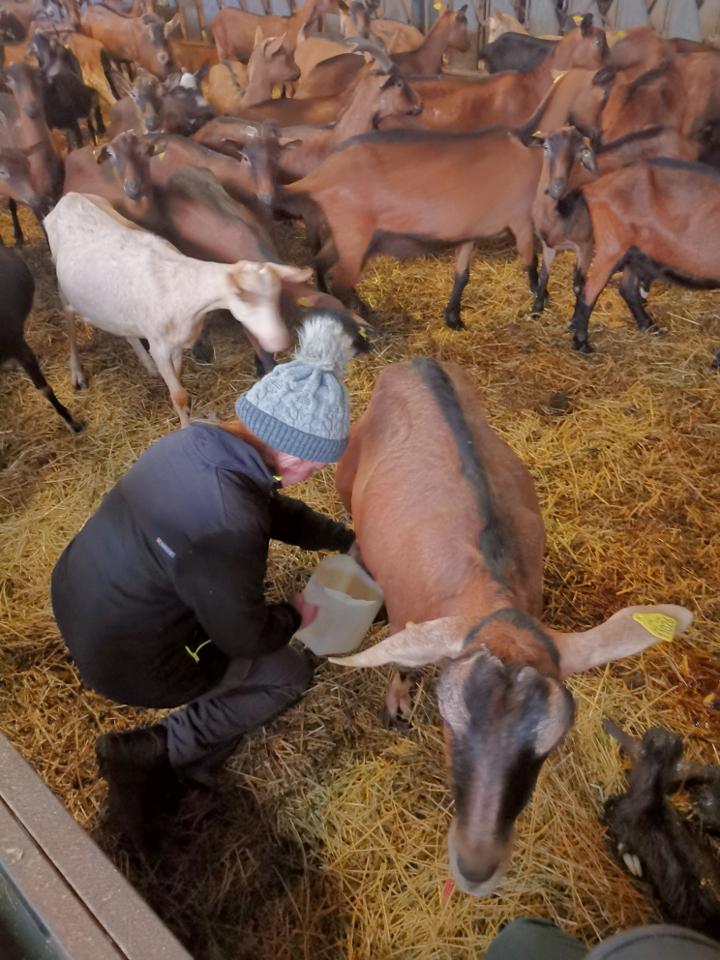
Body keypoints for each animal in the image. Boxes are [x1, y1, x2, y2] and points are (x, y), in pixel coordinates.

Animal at [45, 193, 310, 426]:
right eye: (245, 299)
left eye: (276, 296)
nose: (280, 340)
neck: (185, 292)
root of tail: (69, 198)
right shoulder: (159, 346)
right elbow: (179, 396)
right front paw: (185, 428)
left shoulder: (178, 342)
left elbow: (180, 381)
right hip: (63, 287)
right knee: (68, 322)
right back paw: (77, 372)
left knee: (127, 331)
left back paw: (147, 364)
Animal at [332, 356, 692, 896]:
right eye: (448, 724)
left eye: (550, 743)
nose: (476, 867)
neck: (491, 586)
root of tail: (418, 361)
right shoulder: (407, 616)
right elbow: (402, 661)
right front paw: (397, 704)